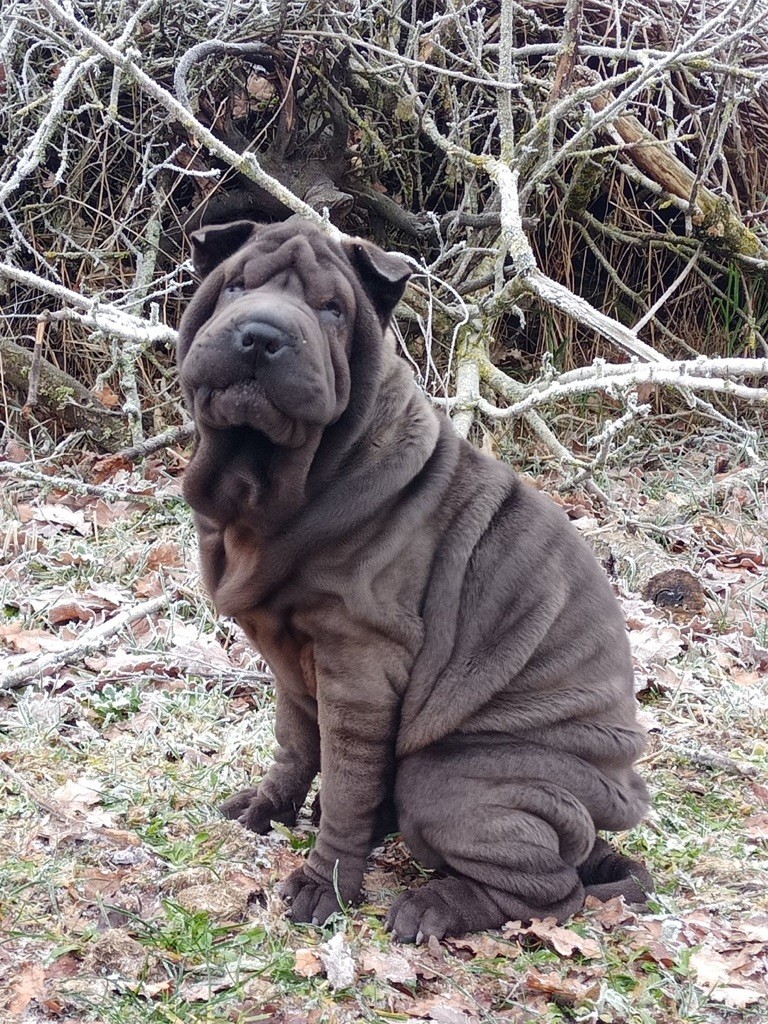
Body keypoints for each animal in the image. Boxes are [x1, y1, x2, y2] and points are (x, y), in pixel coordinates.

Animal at [177, 218, 651, 942]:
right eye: (234, 286)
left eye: (331, 309)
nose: (260, 334)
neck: (270, 487)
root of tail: (614, 813)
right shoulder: (292, 665)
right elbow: (295, 745)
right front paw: (267, 809)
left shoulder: (362, 667)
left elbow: (346, 783)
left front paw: (322, 887)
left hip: (451, 776)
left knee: (550, 889)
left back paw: (432, 908)